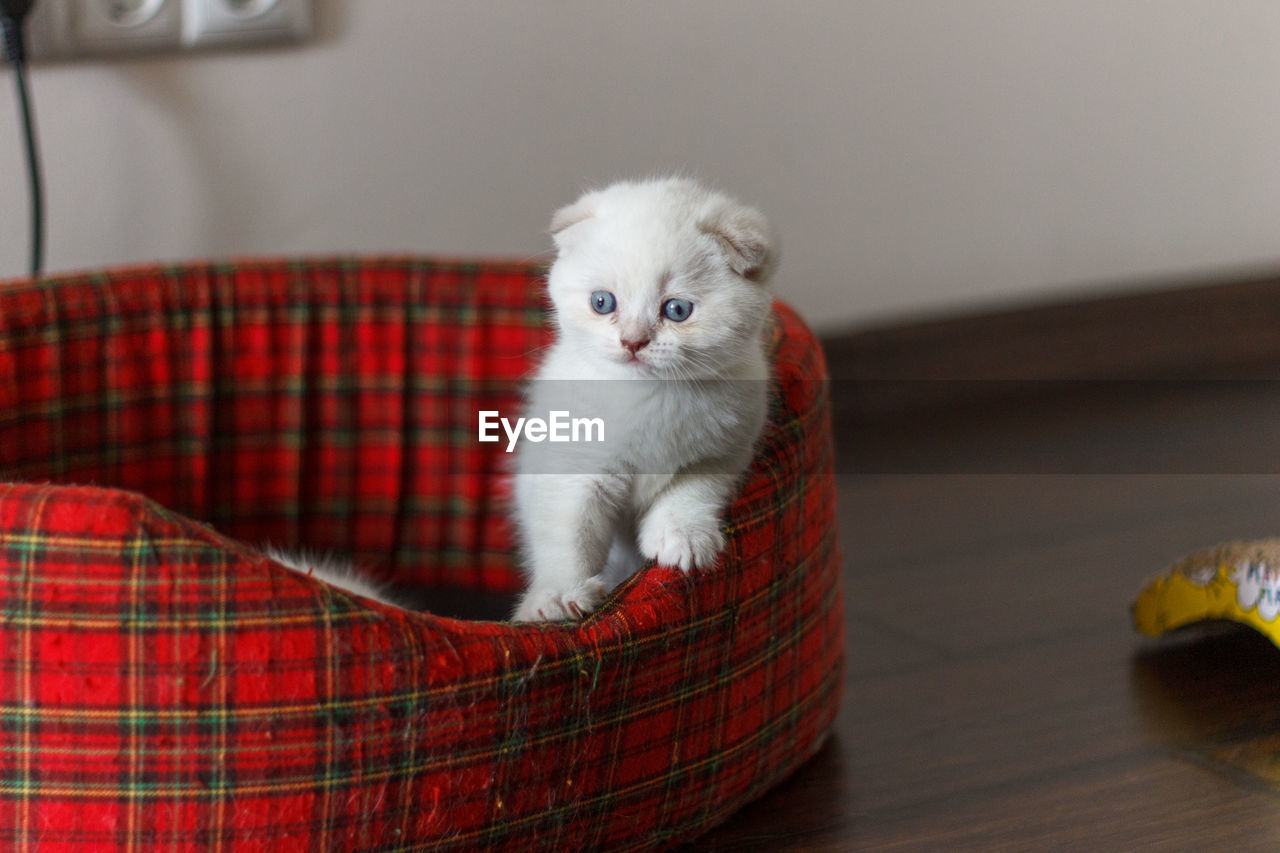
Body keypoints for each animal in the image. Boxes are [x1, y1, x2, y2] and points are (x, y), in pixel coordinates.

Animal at [512, 175, 778, 622]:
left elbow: (690, 491)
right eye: (602, 302)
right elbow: (568, 532)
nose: (632, 342)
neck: (651, 396)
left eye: (677, 309)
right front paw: (560, 595)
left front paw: (683, 538)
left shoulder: (722, 451)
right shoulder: (573, 467)